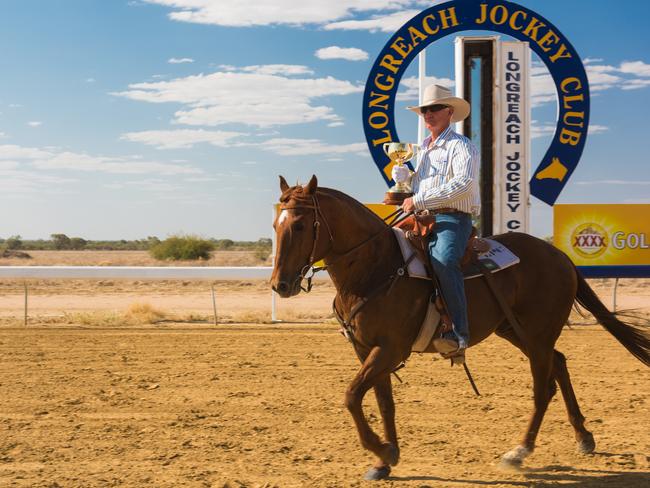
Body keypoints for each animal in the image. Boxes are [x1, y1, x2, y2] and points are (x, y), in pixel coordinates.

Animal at [270, 176, 648, 480]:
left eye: (300, 226)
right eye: (276, 224)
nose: (280, 285)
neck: (375, 267)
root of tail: (560, 256)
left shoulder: (390, 348)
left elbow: (351, 396)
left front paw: (383, 451)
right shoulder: (366, 349)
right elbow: (382, 401)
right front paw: (385, 459)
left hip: (537, 334)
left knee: (543, 389)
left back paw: (519, 452)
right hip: (517, 331)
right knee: (560, 363)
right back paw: (584, 437)